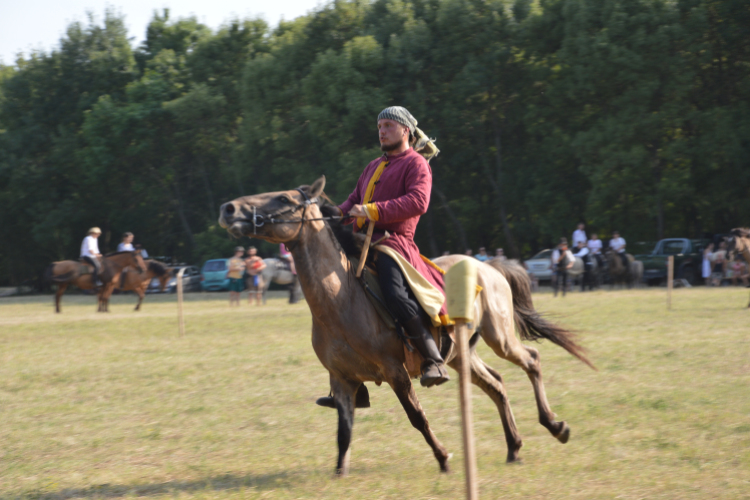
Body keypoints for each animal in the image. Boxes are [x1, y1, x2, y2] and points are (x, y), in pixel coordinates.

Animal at [220, 178, 596, 474]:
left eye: (284, 199)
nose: (229, 208)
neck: (342, 300)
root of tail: (488, 265)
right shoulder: (342, 380)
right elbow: (344, 431)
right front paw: (340, 472)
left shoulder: (395, 371)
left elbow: (417, 417)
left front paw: (443, 457)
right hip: (459, 354)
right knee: (496, 384)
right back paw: (514, 446)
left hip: (499, 337)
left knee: (531, 360)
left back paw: (554, 425)